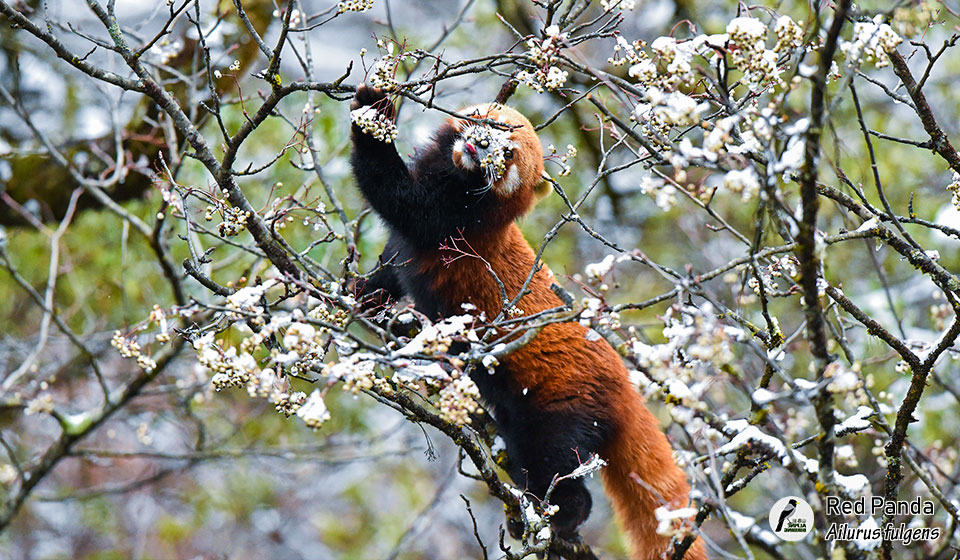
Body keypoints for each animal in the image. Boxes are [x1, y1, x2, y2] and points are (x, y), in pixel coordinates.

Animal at [346, 84, 704, 560]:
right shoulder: (407, 248)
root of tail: (626, 388)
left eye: (508, 152)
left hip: (561, 408)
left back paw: (556, 516)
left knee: (558, 466)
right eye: (489, 123)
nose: (480, 145)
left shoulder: (453, 224)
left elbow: (397, 197)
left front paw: (374, 114)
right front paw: (364, 294)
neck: (458, 179)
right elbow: (390, 267)